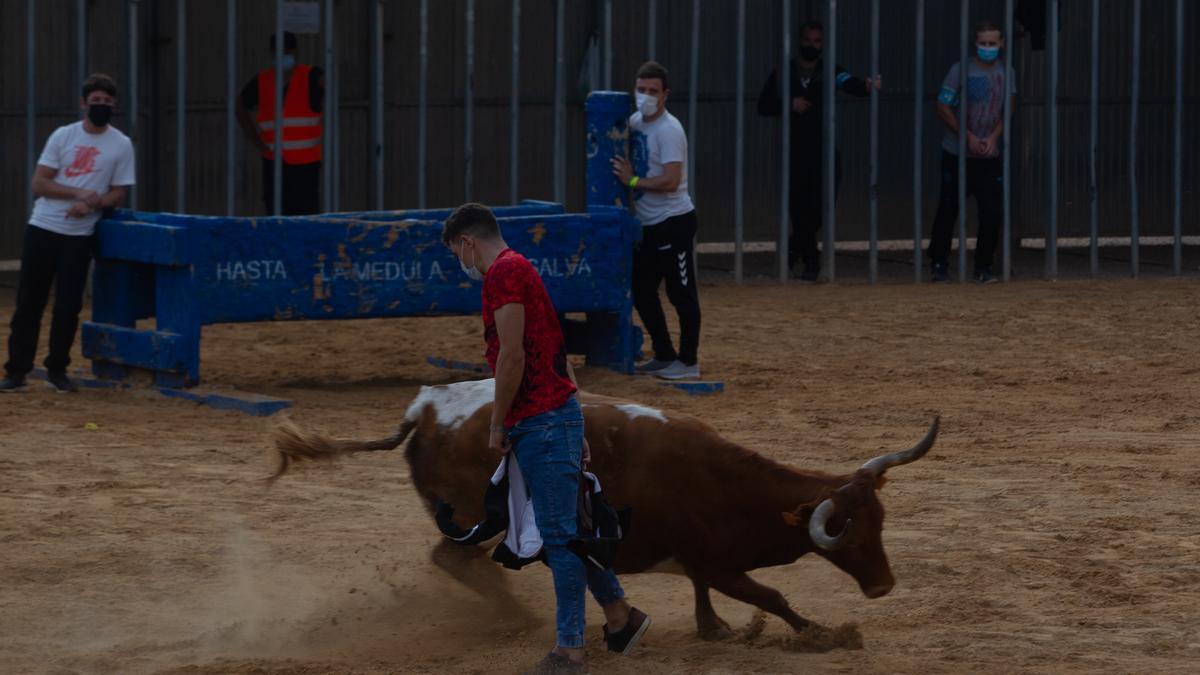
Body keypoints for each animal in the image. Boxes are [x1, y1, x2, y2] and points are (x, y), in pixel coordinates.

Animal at [272, 379, 936, 634]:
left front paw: (714, 628)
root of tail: (427, 408)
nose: (882, 585)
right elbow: (769, 595)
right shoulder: (716, 559)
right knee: (453, 559)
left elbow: (707, 592)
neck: (719, 479)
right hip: (476, 522)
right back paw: (517, 614)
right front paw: (823, 634)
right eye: (851, 535)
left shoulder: (702, 561)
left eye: (881, 523)